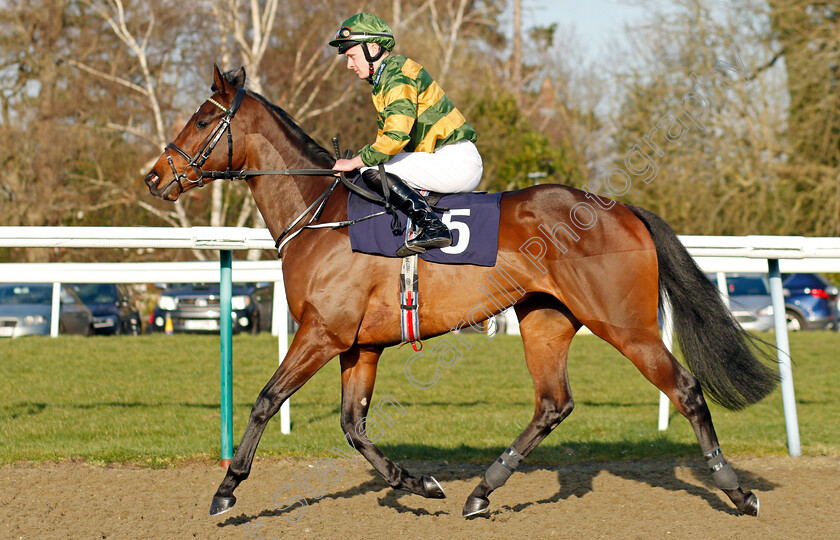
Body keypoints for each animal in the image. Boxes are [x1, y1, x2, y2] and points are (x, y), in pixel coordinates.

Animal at [143, 66, 776, 520]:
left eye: (202, 119)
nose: (155, 176)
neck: (322, 215)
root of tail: (621, 208)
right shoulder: (359, 345)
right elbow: (354, 426)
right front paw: (418, 482)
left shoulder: (321, 333)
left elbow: (266, 400)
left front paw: (227, 488)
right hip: (545, 319)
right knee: (553, 404)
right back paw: (482, 491)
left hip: (626, 324)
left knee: (686, 390)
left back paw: (735, 489)